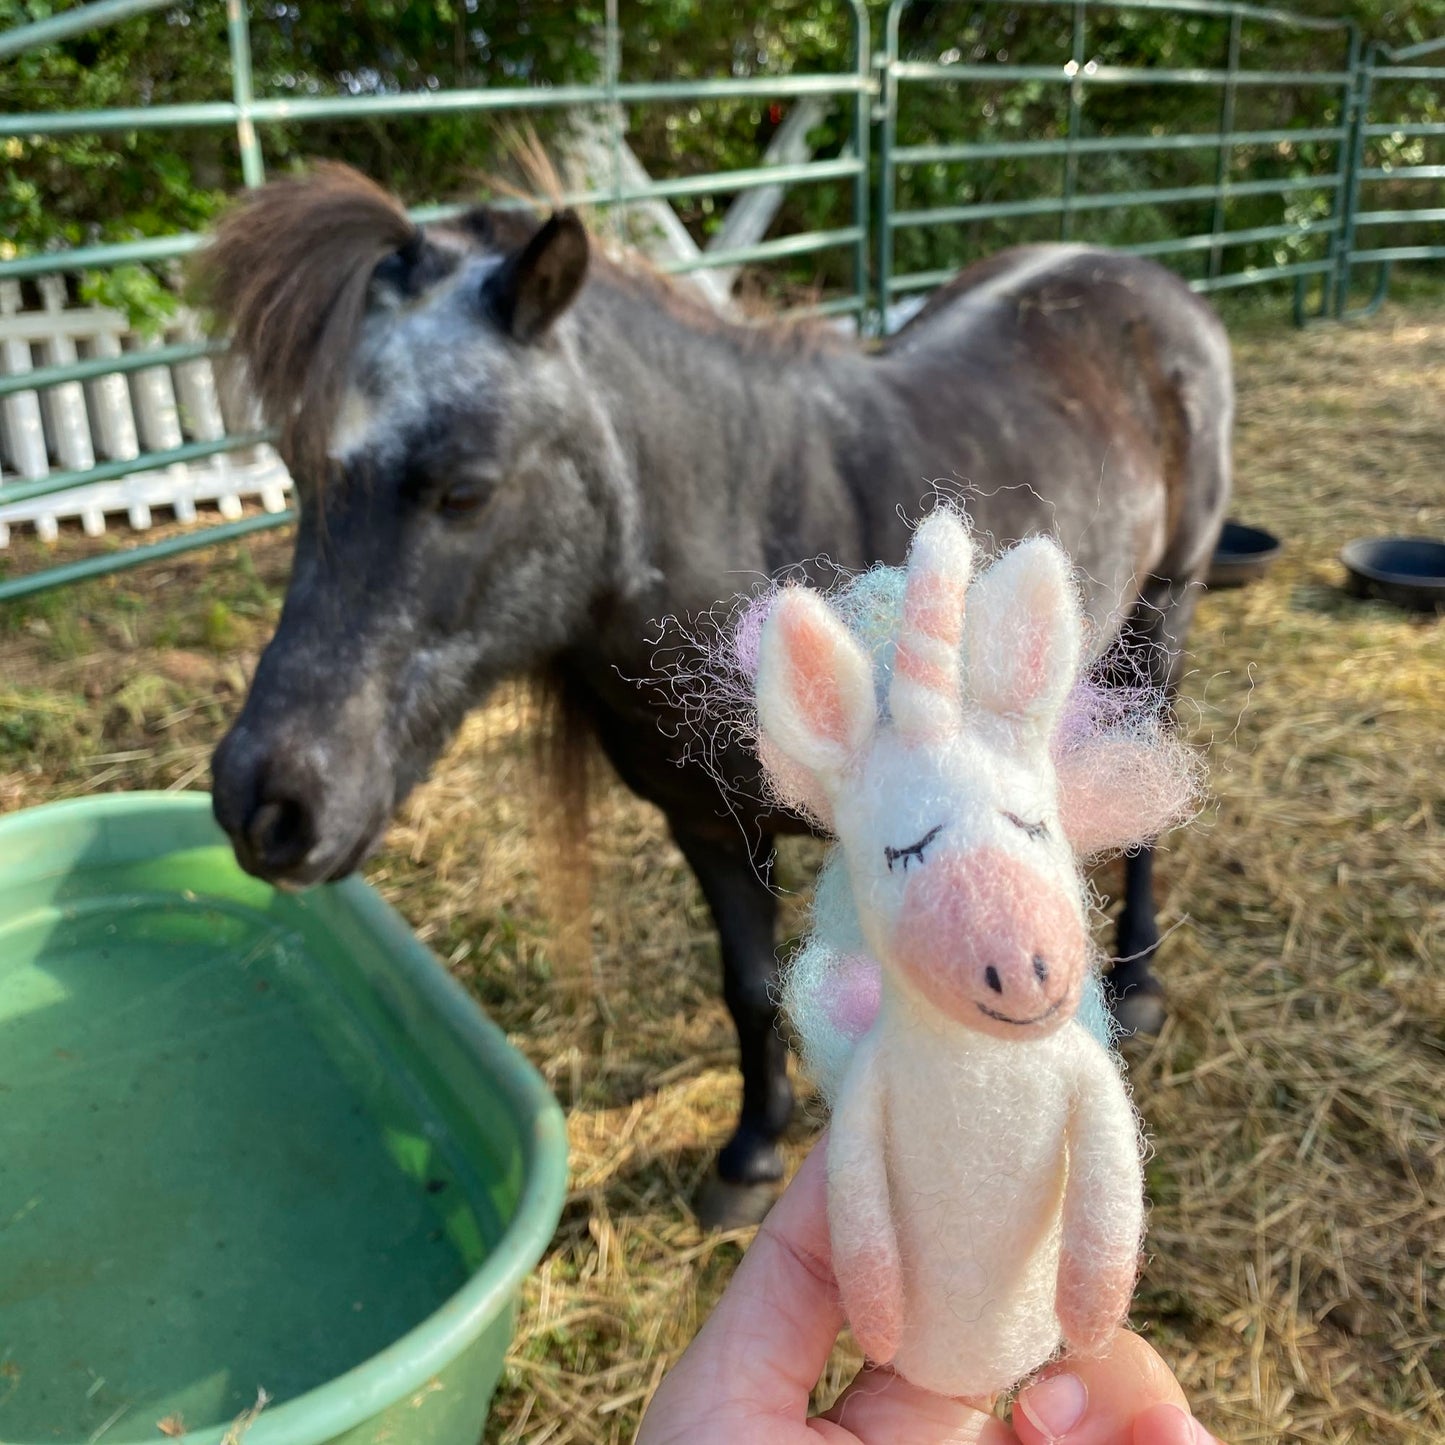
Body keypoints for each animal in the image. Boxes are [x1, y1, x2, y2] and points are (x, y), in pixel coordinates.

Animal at [757, 511, 1196, 1398]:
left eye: (1033, 825)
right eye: (901, 854)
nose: (1026, 970)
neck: (981, 1056)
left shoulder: (1084, 1074)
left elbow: (1108, 1194)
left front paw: (1090, 1325)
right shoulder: (867, 1100)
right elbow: (859, 1221)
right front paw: (880, 1329)